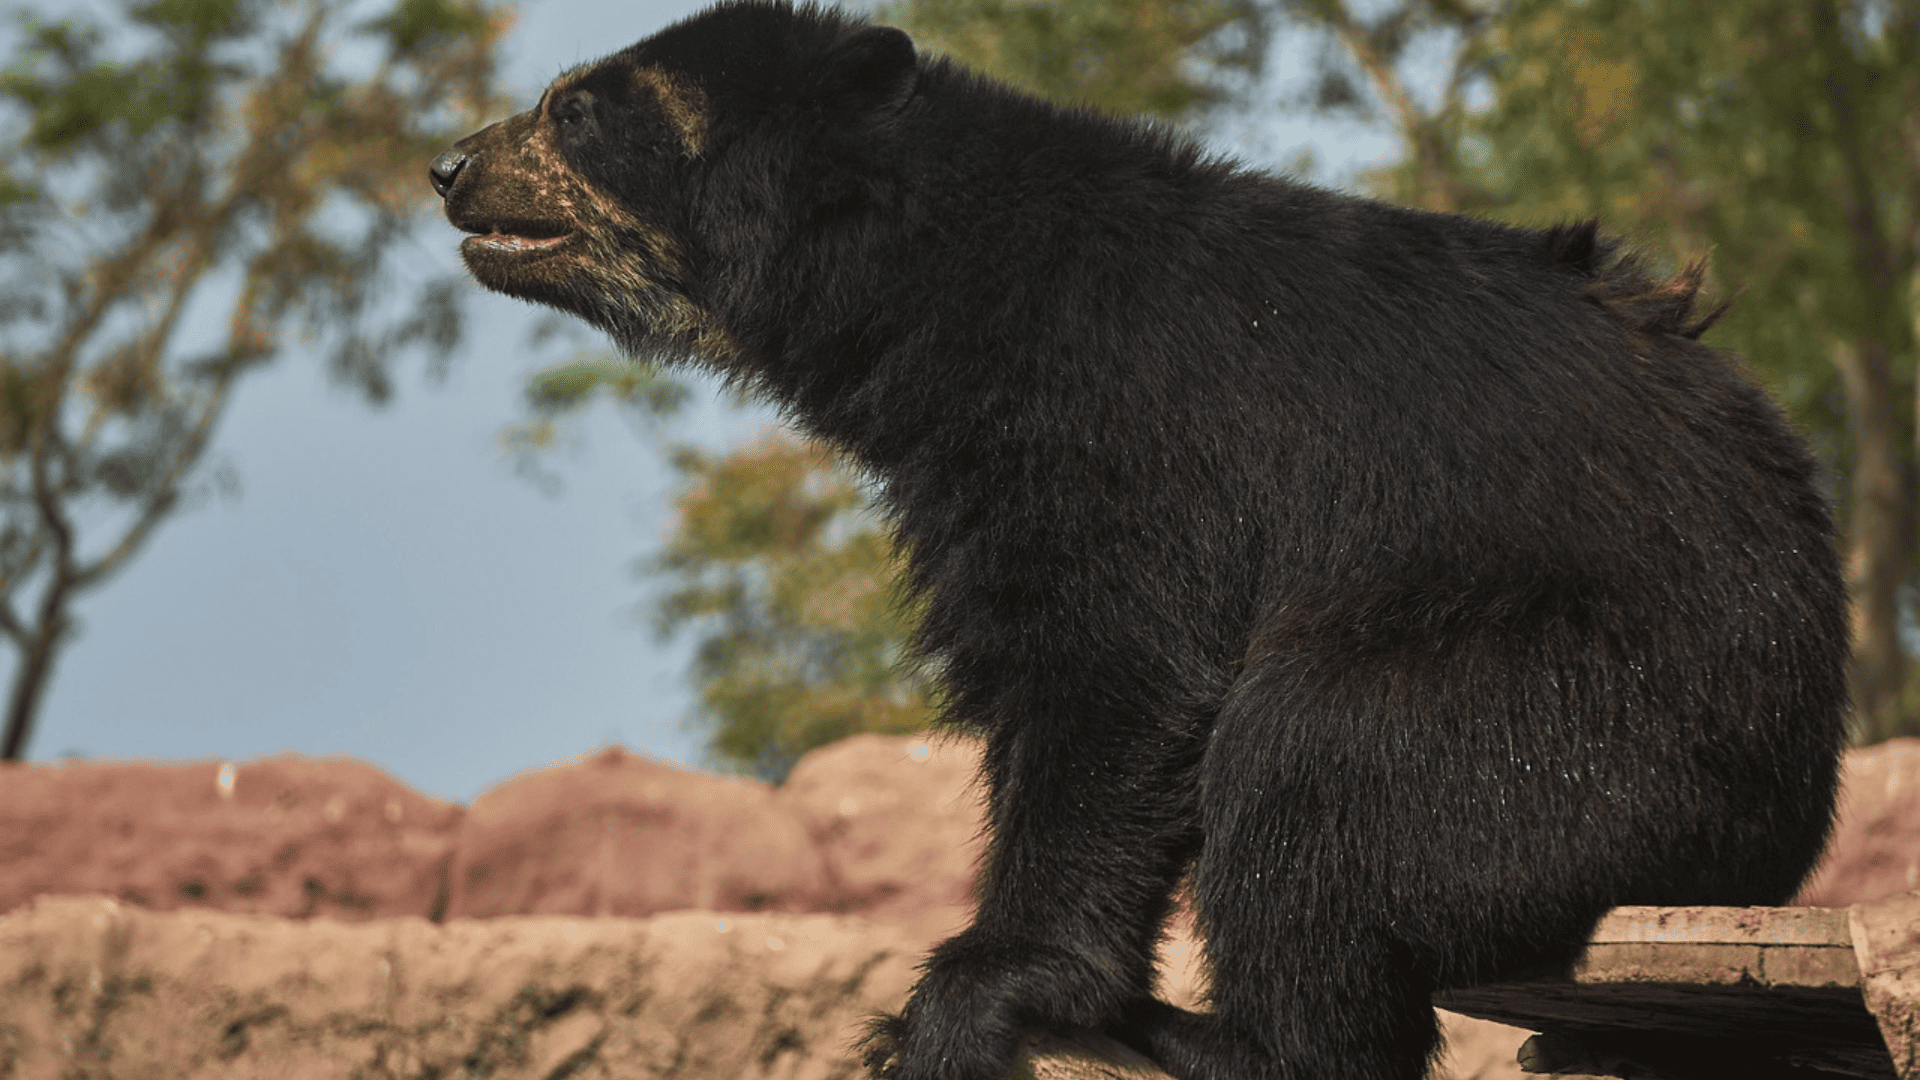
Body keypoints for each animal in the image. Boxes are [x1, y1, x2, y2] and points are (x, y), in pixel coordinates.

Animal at [427, 4, 1851, 1079]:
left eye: (574, 107)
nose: (448, 167)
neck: (933, 294)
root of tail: (1778, 839)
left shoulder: (1117, 422)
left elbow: (1114, 668)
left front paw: (967, 995)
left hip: (1587, 720)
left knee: (1312, 759)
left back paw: (1221, 1037)